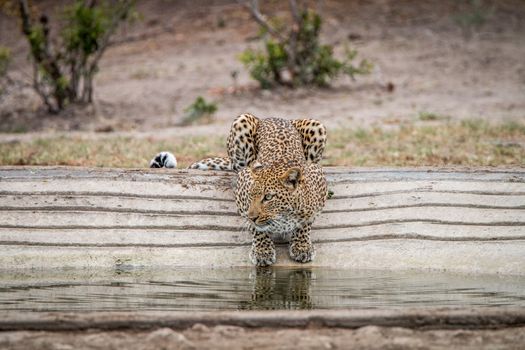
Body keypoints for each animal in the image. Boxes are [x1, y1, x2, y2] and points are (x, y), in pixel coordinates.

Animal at [149, 113, 326, 266]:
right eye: (250, 195)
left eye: (268, 197)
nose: (254, 217)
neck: (283, 215)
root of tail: (272, 117)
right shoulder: (243, 183)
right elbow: (255, 227)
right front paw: (262, 251)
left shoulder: (318, 181)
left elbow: (306, 223)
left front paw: (302, 246)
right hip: (242, 125)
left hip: (317, 127)